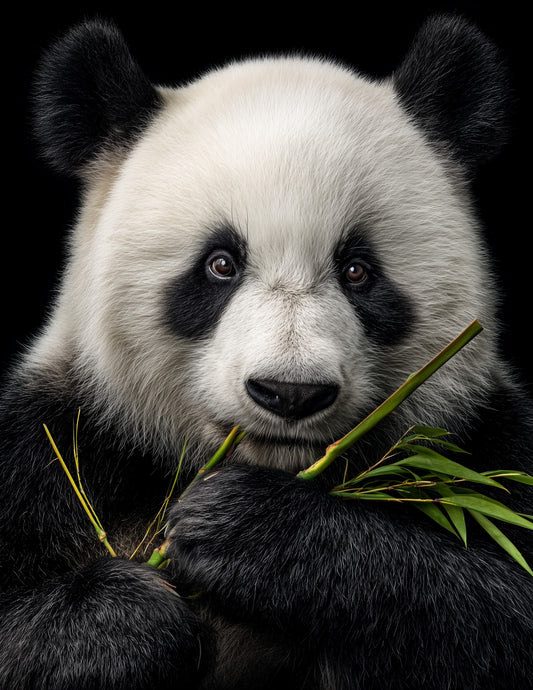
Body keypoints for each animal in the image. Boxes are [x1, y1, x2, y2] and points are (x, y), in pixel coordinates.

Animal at [1, 13, 532, 690]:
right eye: (220, 264)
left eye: (357, 270)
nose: (290, 392)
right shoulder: (51, 445)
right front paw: (130, 618)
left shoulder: (485, 443)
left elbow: (495, 609)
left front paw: (249, 532)